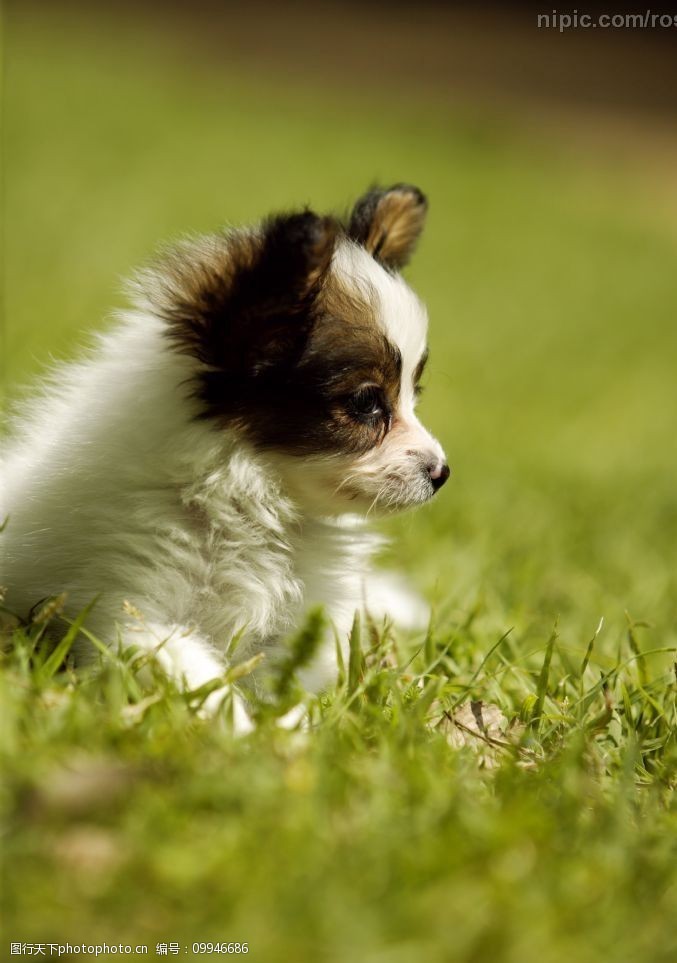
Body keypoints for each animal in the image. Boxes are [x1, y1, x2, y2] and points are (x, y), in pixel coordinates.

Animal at [1, 185, 448, 732]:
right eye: (367, 402)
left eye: (412, 394)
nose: (441, 472)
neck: (249, 499)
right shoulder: (124, 609)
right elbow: (195, 671)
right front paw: (240, 732)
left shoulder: (289, 630)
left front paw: (292, 727)